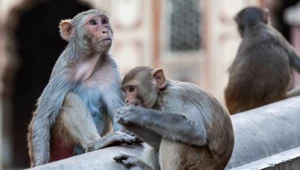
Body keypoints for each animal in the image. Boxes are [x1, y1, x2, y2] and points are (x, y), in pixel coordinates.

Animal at [27, 9, 138, 167]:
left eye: (104, 21)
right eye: (93, 23)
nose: (105, 30)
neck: (87, 63)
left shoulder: (110, 68)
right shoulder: (63, 71)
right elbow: (42, 119)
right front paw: (40, 164)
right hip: (60, 144)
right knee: (68, 99)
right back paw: (95, 144)